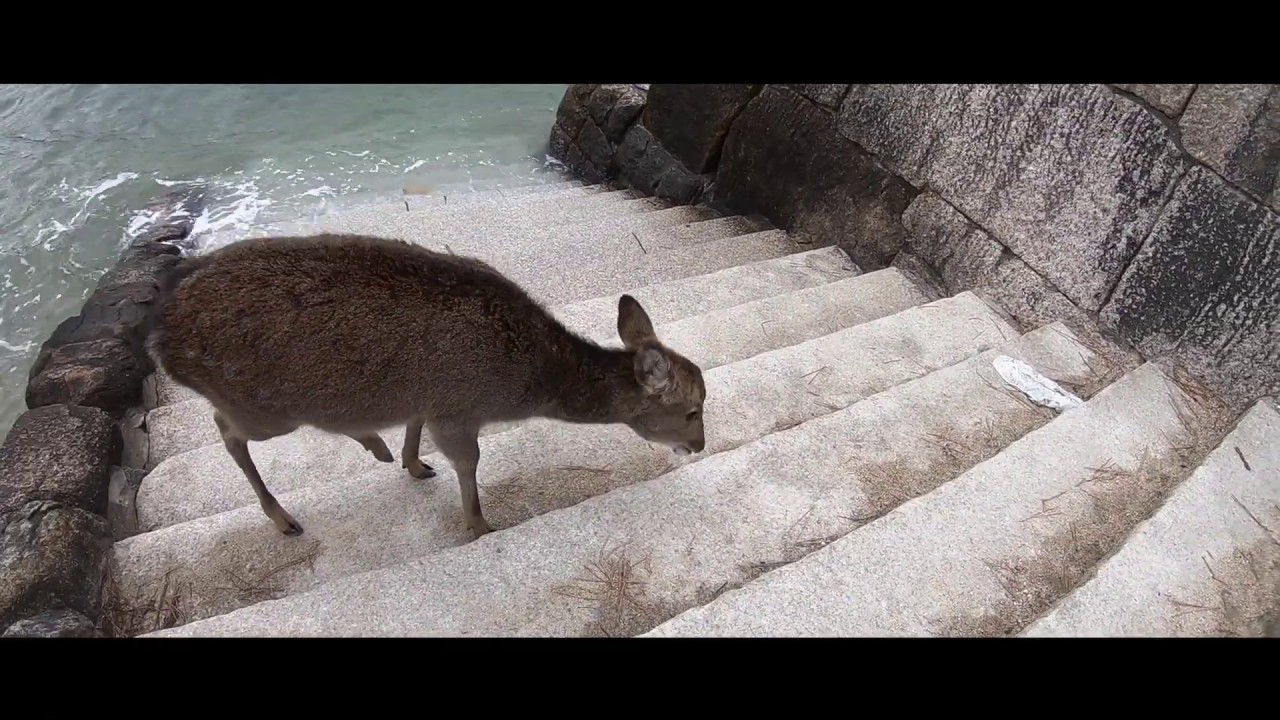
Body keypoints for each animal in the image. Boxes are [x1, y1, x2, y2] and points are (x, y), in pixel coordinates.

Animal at [149, 233, 711, 535]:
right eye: (691, 410)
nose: (701, 445)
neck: (526, 383)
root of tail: (161, 336)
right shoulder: (459, 410)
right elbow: (468, 464)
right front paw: (480, 525)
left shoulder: (429, 396)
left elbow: (415, 425)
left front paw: (413, 462)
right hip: (263, 408)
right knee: (226, 429)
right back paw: (285, 517)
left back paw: (374, 445)